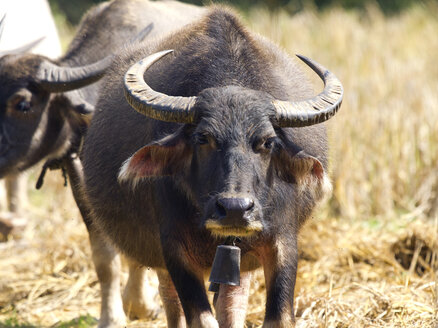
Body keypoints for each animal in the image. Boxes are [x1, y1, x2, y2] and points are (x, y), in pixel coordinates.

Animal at [82, 5, 342, 328]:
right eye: (203, 138)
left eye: (268, 142)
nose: (234, 208)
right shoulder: (174, 250)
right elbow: (199, 318)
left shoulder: (282, 242)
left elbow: (278, 316)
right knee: (171, 301)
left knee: (232, 301)